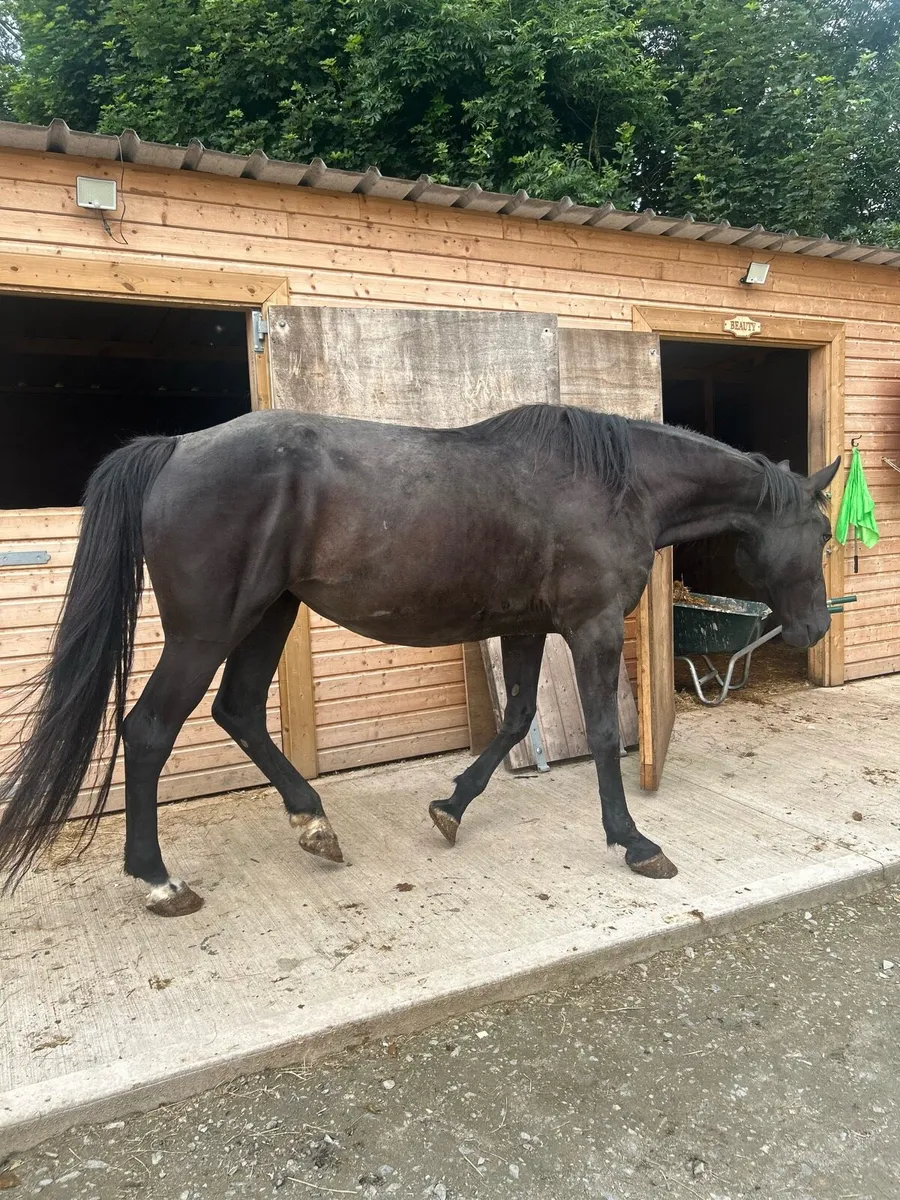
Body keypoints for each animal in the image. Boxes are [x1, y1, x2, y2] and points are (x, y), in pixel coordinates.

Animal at [0, 404, 839, 916]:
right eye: (825, 534)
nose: (809, 630)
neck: (616, 483)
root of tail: (176, 448)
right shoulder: (592, 626)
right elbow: (602, 735)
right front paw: (634, 842)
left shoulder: (527, 627)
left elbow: (517, 719)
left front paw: (450, 808)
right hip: (207, 631)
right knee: (149, 732)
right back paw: (158, 879)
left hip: (270, 614)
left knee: (237, 711)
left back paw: (314, 824)